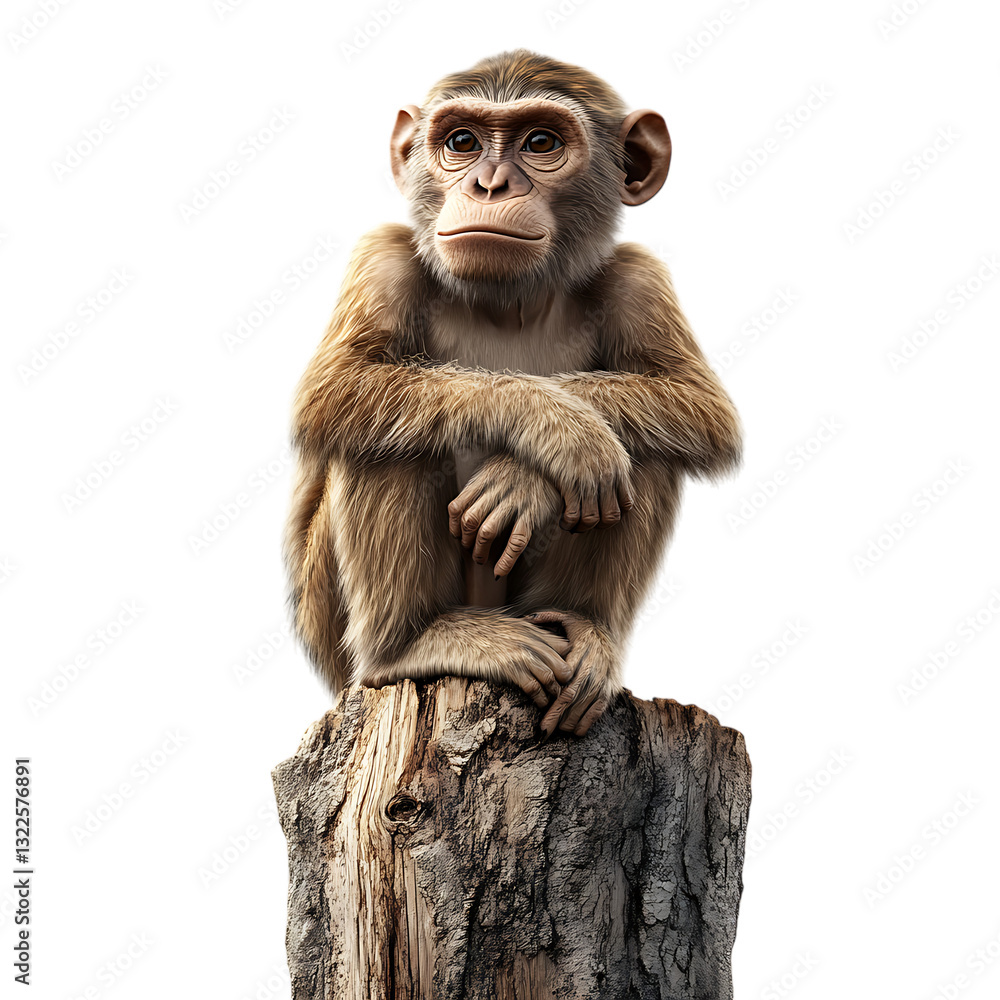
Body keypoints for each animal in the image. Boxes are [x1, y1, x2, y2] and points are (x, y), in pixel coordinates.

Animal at [285, 50, 741, 736]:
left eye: (542, 143)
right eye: (462, 143)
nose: (490, 184)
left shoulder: (640, 279)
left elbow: (697, 403)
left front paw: (525, 479)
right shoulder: (380, 258)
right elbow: (337, 385)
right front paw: (559, 427)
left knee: (650, 450)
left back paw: (584, 631)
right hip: (335, 640)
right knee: (385, 437)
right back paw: (413, 643)